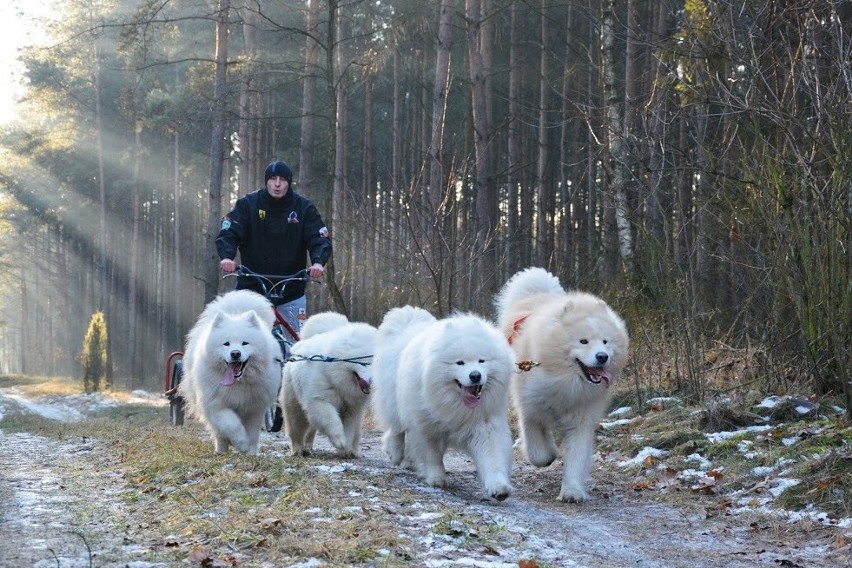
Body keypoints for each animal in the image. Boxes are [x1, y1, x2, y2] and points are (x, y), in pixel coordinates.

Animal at [178, 290, 282, 454]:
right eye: (226, 344)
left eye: (245, 343)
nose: (235, 353)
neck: (238, 383)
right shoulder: (216, 405)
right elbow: (232, 425)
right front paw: (241, 443)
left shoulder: (255, 408)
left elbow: (252, 432)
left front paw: (250, 451)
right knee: (219, 432)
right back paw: (221, 450)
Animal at [280, 310, 376, 458]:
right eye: (362, 363)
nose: (372, 381)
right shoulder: (318, 402)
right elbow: (331, 420)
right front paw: (340, 441)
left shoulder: (351, 409)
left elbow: (348, 430)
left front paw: (345, 449)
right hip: (294, 407)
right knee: (296, 430)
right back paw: (298, 450)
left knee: (311, 432)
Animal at [372, 306, 512, 502]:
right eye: (460, 362)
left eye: (481, 361)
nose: (475, 375)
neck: (455, 405)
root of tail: (408, 328)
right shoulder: (426, 426)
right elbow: (432, 455)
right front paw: (436, 477)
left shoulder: (486, 426)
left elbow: (492, 458)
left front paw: (498, 487)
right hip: (394, 403)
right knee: (396, 429)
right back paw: (395, 453)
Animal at [496, 268, 628, 502]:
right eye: (583, 341)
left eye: (605, 342)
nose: (602, 357)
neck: (565, 382)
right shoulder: (530, 408)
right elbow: (537, 450)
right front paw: (548, 454)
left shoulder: (581, 418)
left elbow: (576, 458)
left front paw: (572, 491)